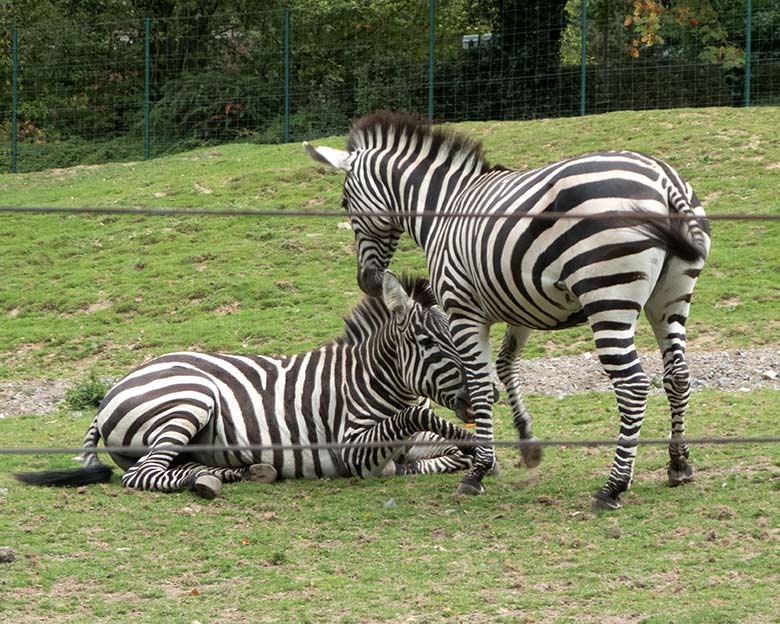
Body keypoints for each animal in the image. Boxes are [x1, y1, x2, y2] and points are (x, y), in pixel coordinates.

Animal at [18, 272, 478, 498]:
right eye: (427, 342)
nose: (476, 396)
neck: (376, 379)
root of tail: (112, 392)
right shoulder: (351, 452)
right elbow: (419, 418)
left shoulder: (412, 440)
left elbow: (441, 443)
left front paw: (472, 449)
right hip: (190, 398)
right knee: (144, 474)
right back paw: (208, 482)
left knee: (167, 466)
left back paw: (234, 472)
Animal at [308, 113, 708, 512]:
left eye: (344, 202)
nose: (368, 281)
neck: (444, 207)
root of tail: (664, 178)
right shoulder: (521, 306)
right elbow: (504, 366)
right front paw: (527, 444)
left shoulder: (462, 308)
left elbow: (481, 384)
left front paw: (479, 471)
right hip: (671, 298)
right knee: (677, 376)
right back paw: (679, 464)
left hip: (607, 295)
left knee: (633, 385)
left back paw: (613, 487)